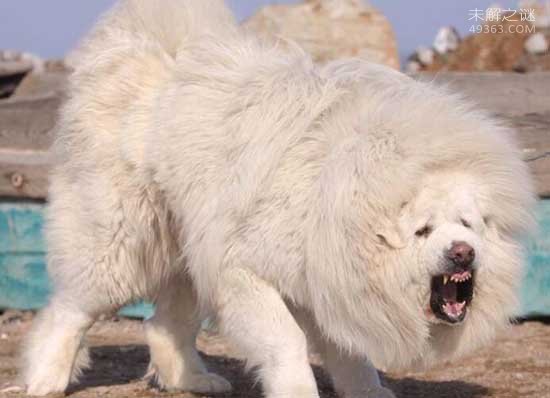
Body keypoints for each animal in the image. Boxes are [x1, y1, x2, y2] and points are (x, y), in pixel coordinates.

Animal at [21, 1, 536, 396]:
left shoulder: (329, 282)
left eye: (467, 225)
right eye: (423, 231)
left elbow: (351, 355)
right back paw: (45, 379)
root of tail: (157, 55)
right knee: (72, 309)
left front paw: (368, 391)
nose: (462, 253)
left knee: (166, 323)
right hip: (121, 243)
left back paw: (192, 380)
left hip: (191, 250)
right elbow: (286, 343)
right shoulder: (244, 271)